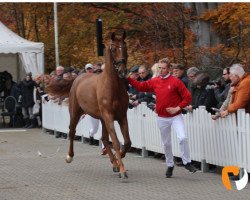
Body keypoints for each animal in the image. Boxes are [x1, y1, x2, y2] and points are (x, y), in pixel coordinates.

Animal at [65, 31, 131, 178]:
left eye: (125, 47)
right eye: (113, 49)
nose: (122, 72)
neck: (112, 87)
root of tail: (78, 77)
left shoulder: (122, 116)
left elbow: (127, 142)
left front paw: (119, 160)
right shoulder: (108, 116)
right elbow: (116, 142)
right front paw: (122, 169)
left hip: (102, 118)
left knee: (104, 139)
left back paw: (113, 162)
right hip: (75, 112)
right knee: (72, 131)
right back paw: (69, 156)